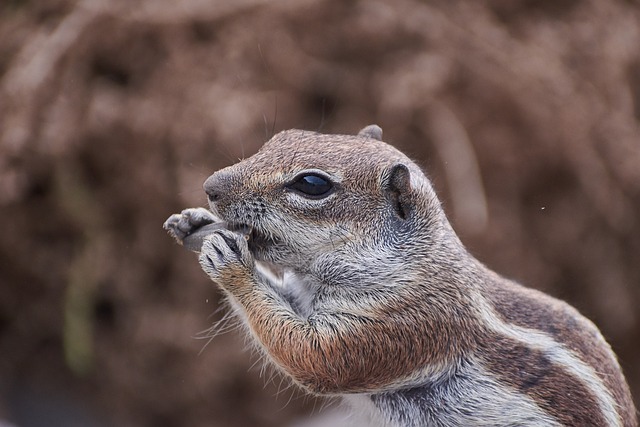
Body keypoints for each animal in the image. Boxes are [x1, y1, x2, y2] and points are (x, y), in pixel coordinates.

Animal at [164, 125, 636, 426]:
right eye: (280, 137)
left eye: (312, 184)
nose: (210, 186)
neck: (412, 262)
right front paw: (192, 222)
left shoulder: (398, 324)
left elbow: (310, 357)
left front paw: (230, 262)